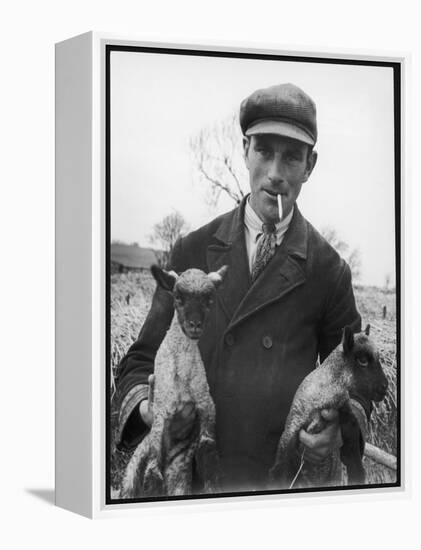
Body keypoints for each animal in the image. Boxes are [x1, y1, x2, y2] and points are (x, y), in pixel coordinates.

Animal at [120, 264, 228, 500]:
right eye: (178, 297)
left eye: (209, 299)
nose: (195, 325)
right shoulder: (161, 415)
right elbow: (152, 476)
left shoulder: (206, 407)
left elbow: (208, 455)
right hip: (133, 470)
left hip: (178, 470)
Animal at [270, 326, 388, 490]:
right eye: (363, 361)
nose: (385, 387)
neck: (329, 394)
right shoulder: (292, 431)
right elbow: (280, 469)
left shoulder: (344, 409)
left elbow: (352, 435)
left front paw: (356, 472)